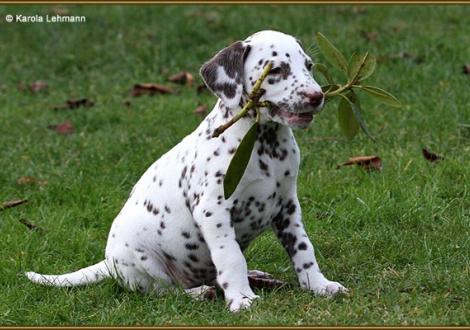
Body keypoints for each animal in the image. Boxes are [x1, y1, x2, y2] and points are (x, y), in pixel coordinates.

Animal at [26, 30, 348, 312]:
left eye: (308, 66)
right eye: (277, 70)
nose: (317, 96)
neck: (263, 144)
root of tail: (108, 265)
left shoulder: (287, 207)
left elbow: (303, 249)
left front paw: (319, 285)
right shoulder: (213, 210)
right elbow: (231, 257)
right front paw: (242, 299)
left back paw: (257, 277)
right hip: (143, 262)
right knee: (164, 291)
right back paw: (199, 293)